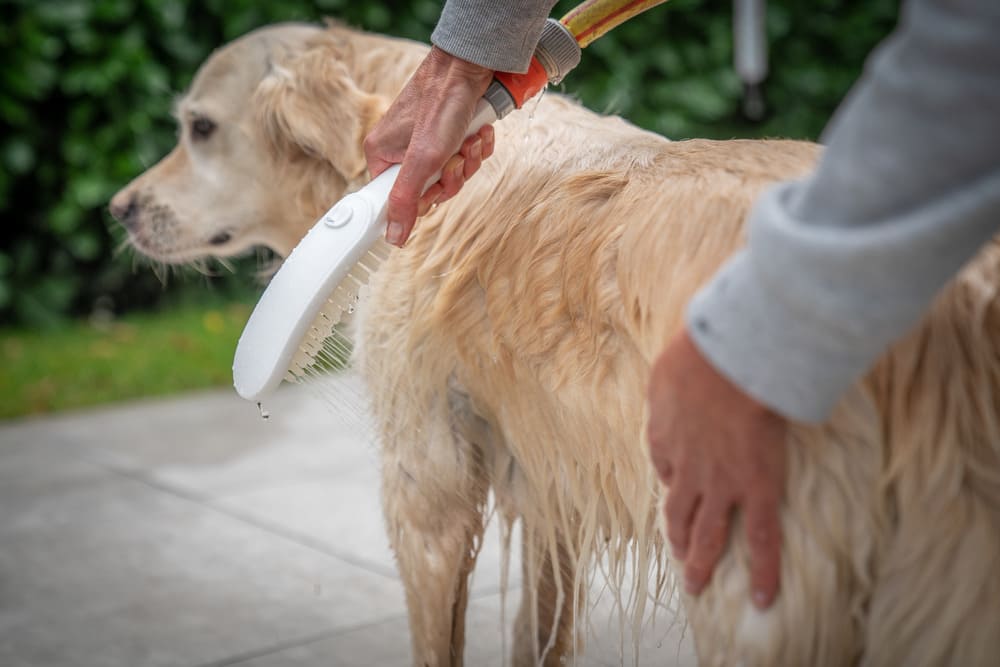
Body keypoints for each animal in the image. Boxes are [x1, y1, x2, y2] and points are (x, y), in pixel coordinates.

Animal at [111, 20, 1000, 667]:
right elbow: (538, 632)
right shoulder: (552, 486)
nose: (117, 208)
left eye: (199, 128)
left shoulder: (424, 484)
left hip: (753, 570)